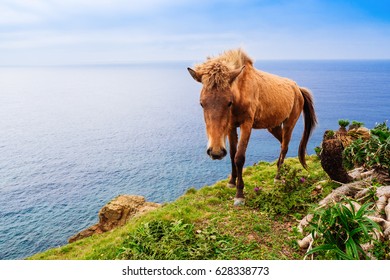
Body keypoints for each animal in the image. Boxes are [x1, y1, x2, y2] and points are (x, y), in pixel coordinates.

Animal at [187, 48, 318, 206]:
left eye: (229, 102)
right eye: (202, 103)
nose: (216, 152)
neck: (241, 92)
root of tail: (297, 89)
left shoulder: (246, 125)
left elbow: (239, 157)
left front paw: (239, 194)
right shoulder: (231, 127)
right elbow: (232, 154)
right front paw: (232, 181)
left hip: (289, 123)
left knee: (284, 147)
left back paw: (278, 177)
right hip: (273, 126)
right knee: (282, 144)